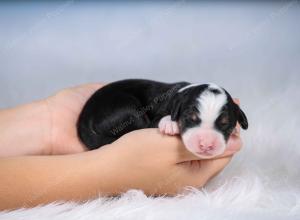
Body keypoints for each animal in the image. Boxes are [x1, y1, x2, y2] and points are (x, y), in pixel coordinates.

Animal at [77, 79, 248, 158]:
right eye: (190, 119)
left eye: (225, 124)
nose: (206, 145)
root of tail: (85, 119)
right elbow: (157, 120)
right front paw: (170, 124)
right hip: (128, 110)